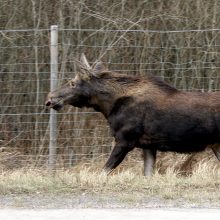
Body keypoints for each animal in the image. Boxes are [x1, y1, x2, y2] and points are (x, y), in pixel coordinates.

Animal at [45, 54, 220, 176]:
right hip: (216, 145)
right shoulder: (148, 146)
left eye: (73, 83)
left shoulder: (125, 140)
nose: (50, 98)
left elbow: (104, 171)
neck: (108, 107)